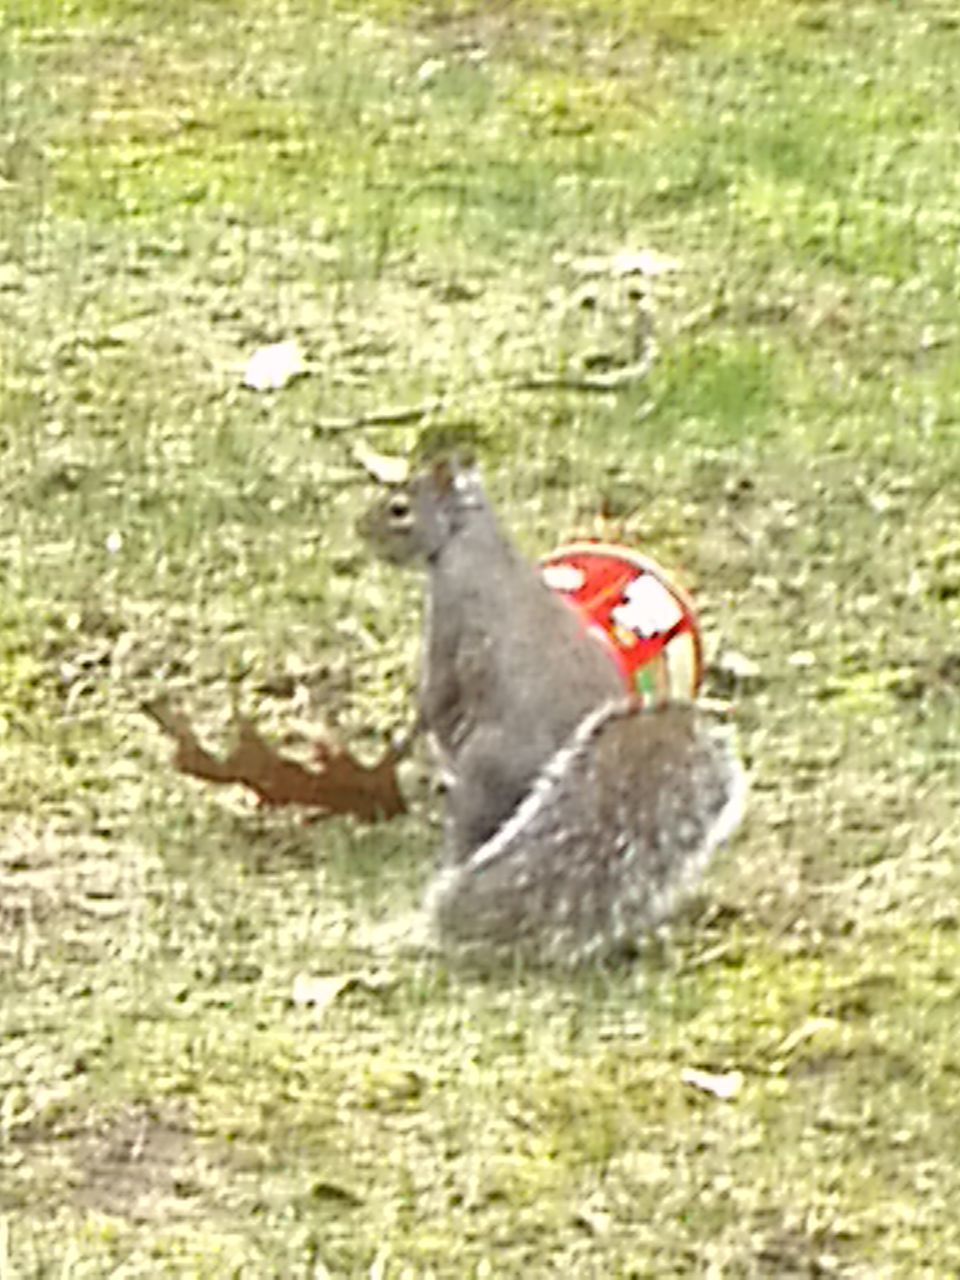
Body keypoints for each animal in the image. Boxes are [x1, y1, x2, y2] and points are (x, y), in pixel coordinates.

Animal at [360, 455, 742, 962]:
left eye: (400, 509)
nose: (361, 528)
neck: (471, 540)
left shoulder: (449, 623)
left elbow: (437, 696)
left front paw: (412, 738)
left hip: (485, 774)